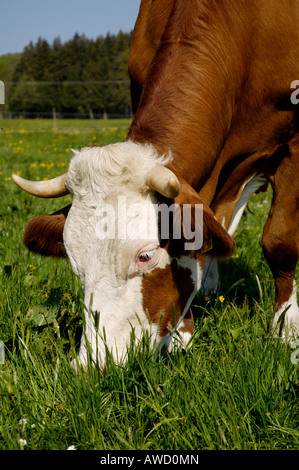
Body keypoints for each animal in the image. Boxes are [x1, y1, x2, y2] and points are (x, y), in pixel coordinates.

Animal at [11, 0, 299, 368]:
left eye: (145, 256)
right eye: (75, 263)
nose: (92, 364)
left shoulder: (294, 143)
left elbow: (279, 242)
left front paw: (287, 330)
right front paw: (182, 334)